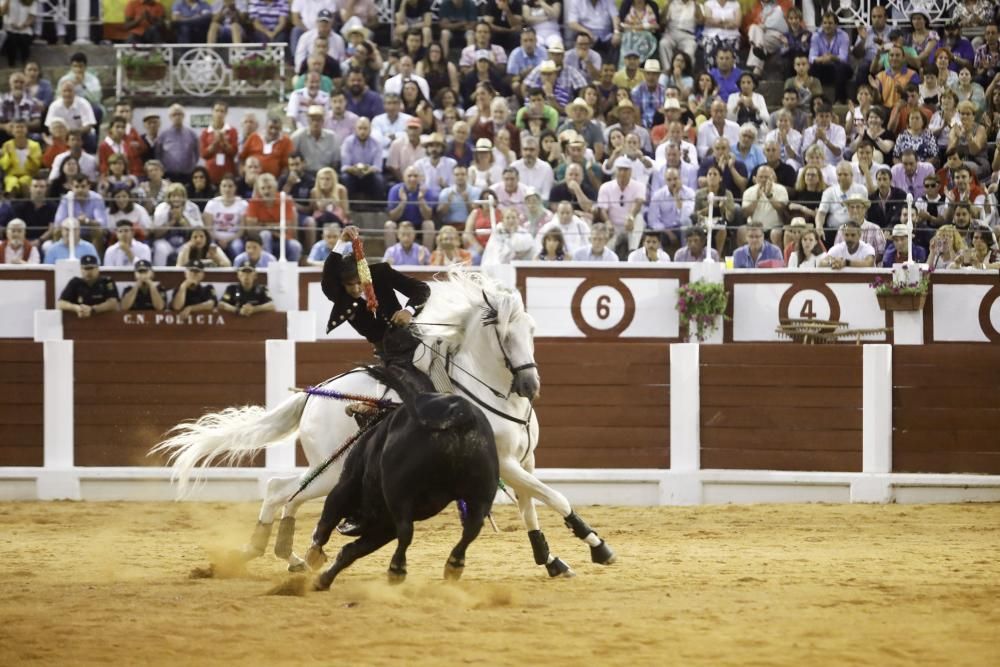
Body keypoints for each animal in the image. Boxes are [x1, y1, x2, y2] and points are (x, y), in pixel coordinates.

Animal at [306, 360, 498, 588]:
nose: (348, 525)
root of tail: (457, 415)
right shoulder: (383, 523)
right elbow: (352, 551)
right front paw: (323, 580)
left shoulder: (348, 485)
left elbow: (327, 520)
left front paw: (312, 557)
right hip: (482, 491)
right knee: (472, 527)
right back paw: (453, 565)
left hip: (398, 490)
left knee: (406, 531)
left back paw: (397, 569)